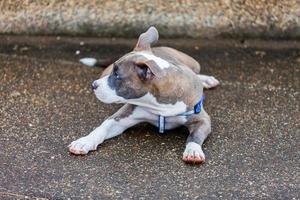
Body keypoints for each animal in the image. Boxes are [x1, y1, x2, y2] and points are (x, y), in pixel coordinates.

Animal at [69, 26, 219, 164]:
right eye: (114, 72)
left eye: (117, 75)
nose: (93, 85)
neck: (160, 105)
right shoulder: (121, 117)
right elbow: (102, 128)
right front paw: (84, 142)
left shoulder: (202, 119)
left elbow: (194, 136)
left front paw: (193, 150)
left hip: (193, 63)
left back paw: (206, 80)